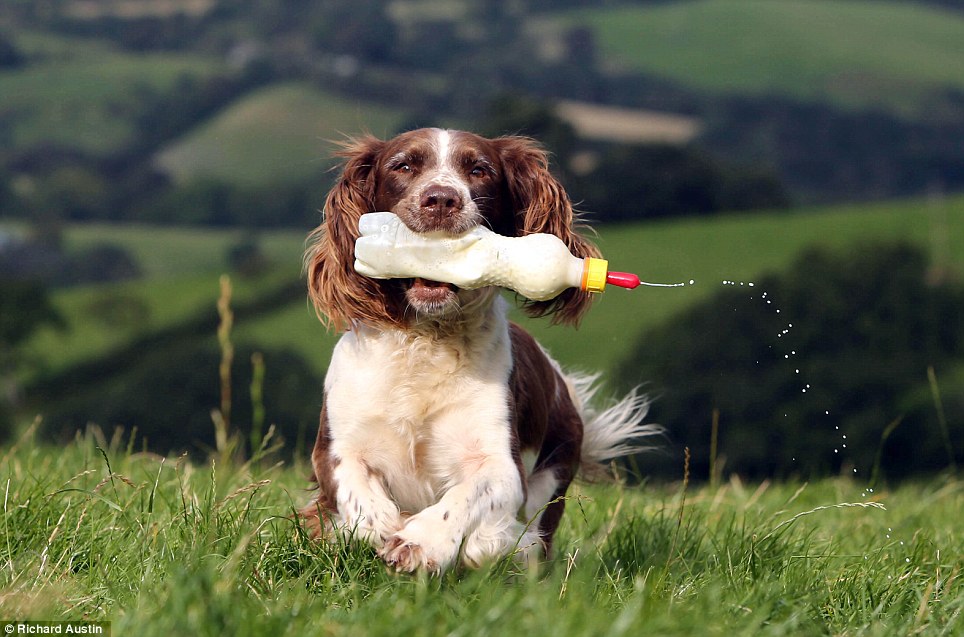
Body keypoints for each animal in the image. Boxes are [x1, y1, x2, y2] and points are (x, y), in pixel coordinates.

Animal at [300, 128, 656, 572]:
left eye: (479, 170)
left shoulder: (502, 463)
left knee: (530, 539)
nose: (440, 199)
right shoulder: (336, 446)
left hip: (556, 466)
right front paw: (382, 528)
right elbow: (356, 490)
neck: (427, 340)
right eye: (403, 165)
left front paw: (419, 542)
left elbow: (466, 496)